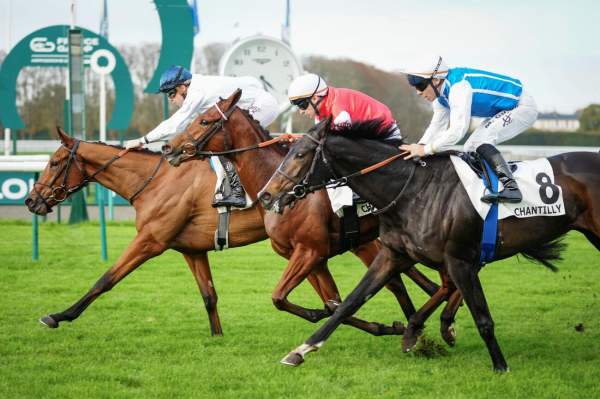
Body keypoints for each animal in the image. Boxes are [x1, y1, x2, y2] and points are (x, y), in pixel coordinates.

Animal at [162, 90, 462, 340]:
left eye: (204, 120)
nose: (169, 148)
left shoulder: (310, 251)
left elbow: (282, 297)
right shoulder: (311, 258)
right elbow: (332, 302)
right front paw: (383, 326)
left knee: (445, 280)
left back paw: (443, 323)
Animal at [258, 119, 600, 372]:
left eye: (300, 154)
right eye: (288, 151)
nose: (265, 195)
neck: (414, 191)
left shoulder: (460, 259)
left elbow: (483, 318)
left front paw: (501, 367)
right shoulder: (392, 255)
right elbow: (347, 304)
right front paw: (301, 350)